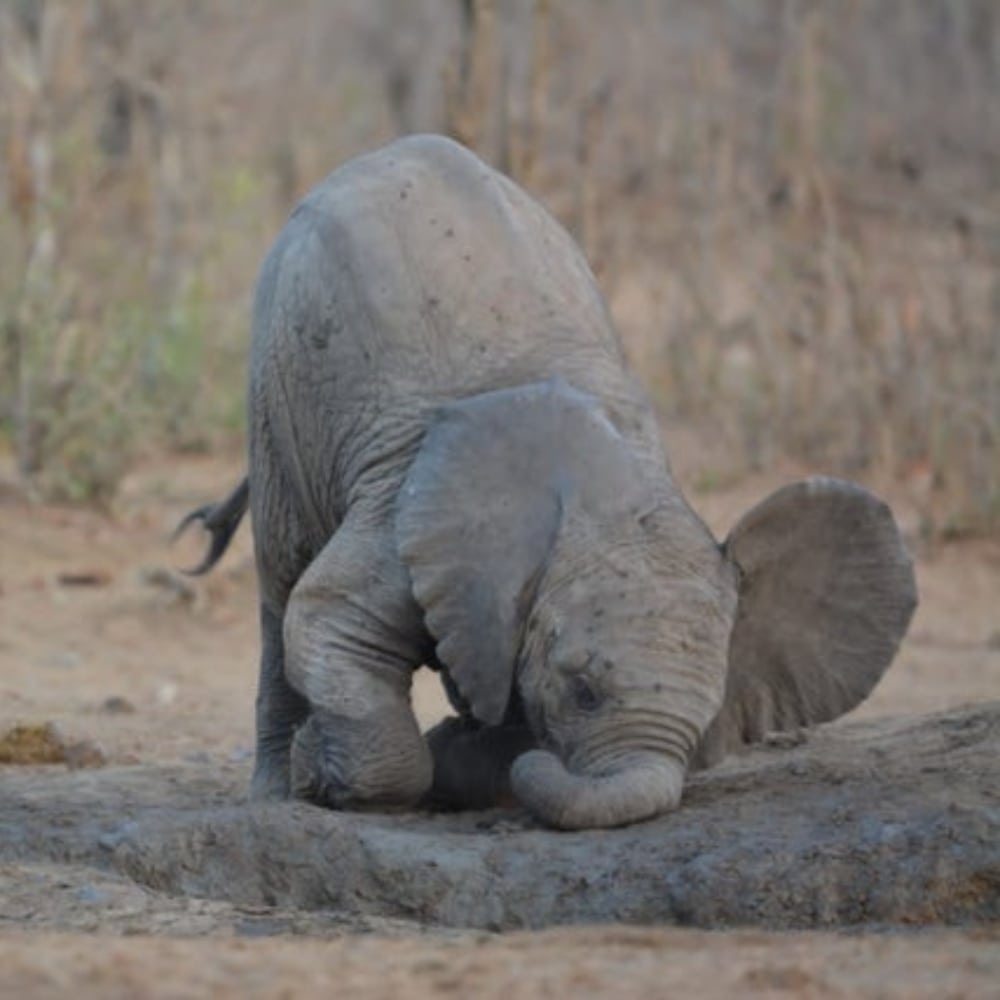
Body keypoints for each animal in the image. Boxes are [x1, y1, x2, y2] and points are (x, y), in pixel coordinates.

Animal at [182, 137, 920, 832]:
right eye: (583, 690)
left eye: (713, 712)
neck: (609, 491)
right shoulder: (400, 513)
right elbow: (327, 617)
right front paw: (329, 774)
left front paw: (464, 750)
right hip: (277, 383)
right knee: (282, 583)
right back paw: (278, 791)